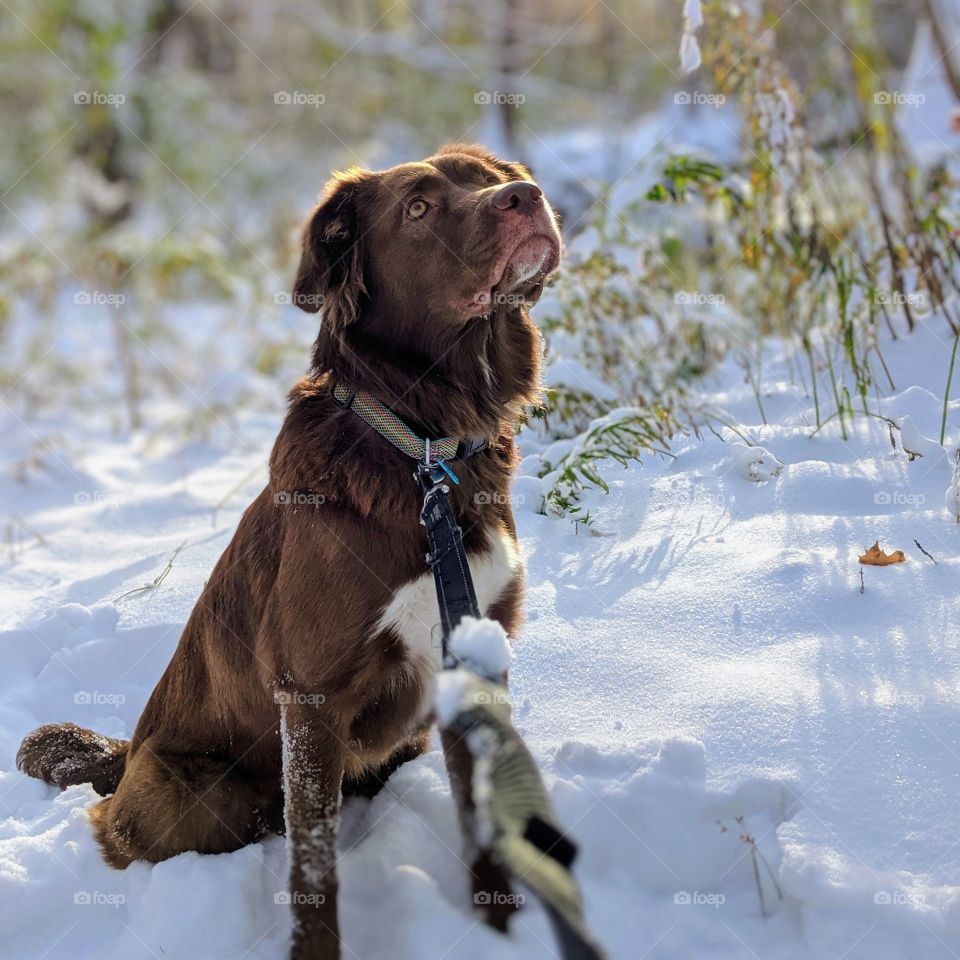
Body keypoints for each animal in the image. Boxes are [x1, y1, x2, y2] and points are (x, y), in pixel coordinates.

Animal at [15, 144, 564, 960]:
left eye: (493, 173)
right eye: (418, 208)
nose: (525, 196)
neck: (423, 448)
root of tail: (127, 754)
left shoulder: (474, 661)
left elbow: (485, 822)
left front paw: (497, 929)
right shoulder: (311, 698)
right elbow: (314, 868)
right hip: (193, 794)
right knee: (126, 831)